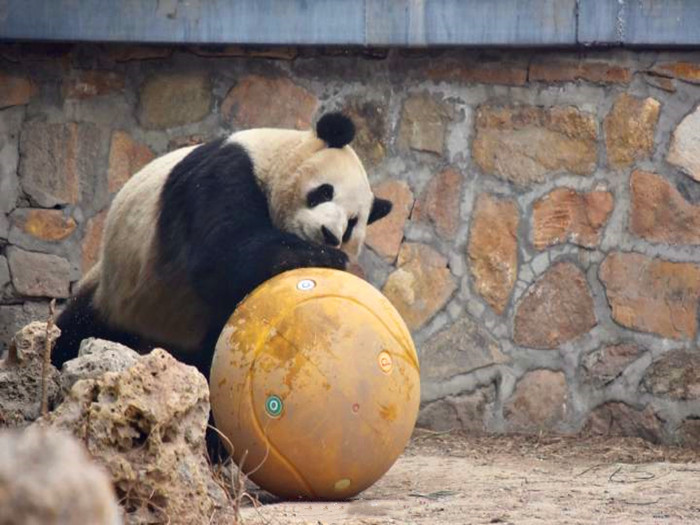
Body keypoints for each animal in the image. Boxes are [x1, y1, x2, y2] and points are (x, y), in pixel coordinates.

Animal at [53, 111, 394, 376]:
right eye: (324, 192)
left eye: (352, 225)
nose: (329, 234)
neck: (275, 156)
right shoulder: (223, 172)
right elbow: (222, 255)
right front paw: (325, 258)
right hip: (119, 292)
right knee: (75, 330)